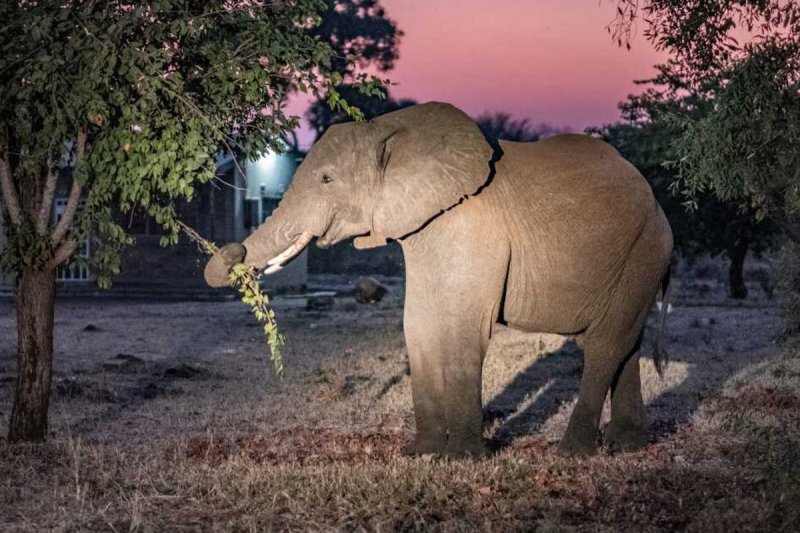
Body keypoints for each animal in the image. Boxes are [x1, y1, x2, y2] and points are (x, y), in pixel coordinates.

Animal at [205, 102, 673, 458]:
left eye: (326, 178)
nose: (232, 252)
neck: (388, 129)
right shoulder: (424, 229)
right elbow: (418, 326)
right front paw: (421, 454)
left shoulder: (471, 225)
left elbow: (465, 329)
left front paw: (462, 459)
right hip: (637, 257)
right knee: (625, 343)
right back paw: (625, 446)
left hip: (644, 249)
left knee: (604, 344)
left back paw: (572, 452)